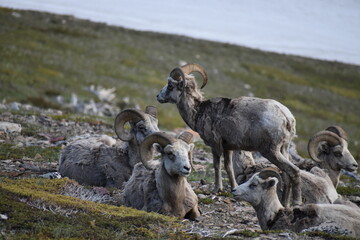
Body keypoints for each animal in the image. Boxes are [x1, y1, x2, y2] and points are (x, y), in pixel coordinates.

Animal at [156, 63, 300, 204]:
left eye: (170, 85)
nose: (158, 96)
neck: (198, 112)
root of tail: (287, 118)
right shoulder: (228, 148)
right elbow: (228, 167)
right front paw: (233, 188)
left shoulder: (215, 145)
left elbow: (217, 166)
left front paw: (216, 189)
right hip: (283, 149)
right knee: (287, 175)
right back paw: (285, 203)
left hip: (270, 151)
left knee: (294, 171)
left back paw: (296, 202)